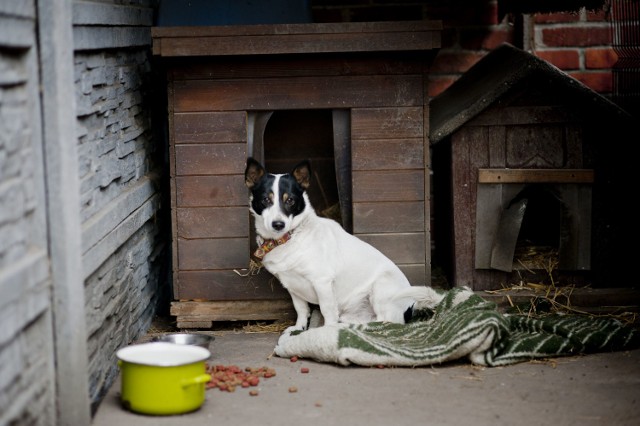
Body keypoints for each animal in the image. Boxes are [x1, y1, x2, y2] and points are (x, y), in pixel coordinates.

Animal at [242, 157, 442, 332]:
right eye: (265, 200)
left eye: (290, 200)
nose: (278, 224)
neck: (291, 237)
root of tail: (409, 308)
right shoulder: (293, 287)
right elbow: (301, 310)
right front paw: (299, 328)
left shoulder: (322, 282)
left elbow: (327, 310)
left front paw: (326, 332)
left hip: (380, 288)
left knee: (386, 322)